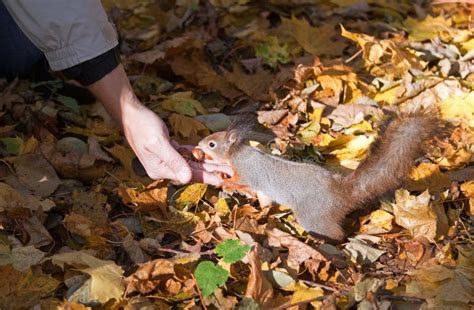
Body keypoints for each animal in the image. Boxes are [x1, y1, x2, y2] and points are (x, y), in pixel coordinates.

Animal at [197, 109, 444, 242]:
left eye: (212, 144)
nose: (198, 146)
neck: (238, 153)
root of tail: (341, 194)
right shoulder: (263, 190)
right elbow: (263, 199)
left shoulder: (249, 172)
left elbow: (243, 182)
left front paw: (227, 182)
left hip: (313, 215)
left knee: (335, 233)